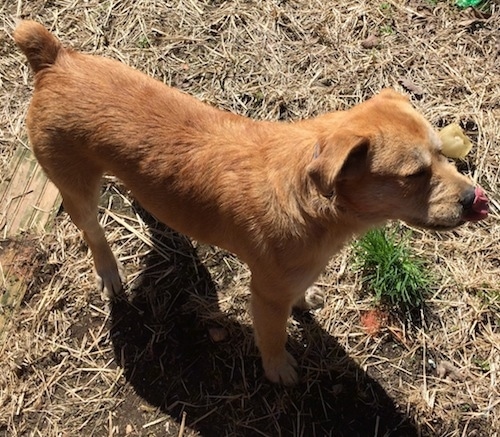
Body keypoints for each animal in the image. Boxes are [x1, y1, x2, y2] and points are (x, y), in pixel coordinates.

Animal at [14, 20, 488, 384]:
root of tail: (55, 58)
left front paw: (306, 299)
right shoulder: (266, 294)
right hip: (76, 190)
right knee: (93, 233)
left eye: (442, 153)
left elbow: (301, 294)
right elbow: (274, 336)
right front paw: (279, 370)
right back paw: (110, 272)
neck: (314, 203)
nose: (473, 198)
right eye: (414, 175)